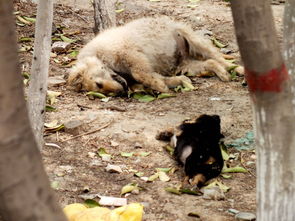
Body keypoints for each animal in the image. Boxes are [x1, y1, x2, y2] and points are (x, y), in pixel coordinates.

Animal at [67, 16, 245, 94]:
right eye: (101, 89)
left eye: (98, 84)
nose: (121, 91)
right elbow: (154, 78)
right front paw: (174, 82)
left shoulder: (133, 56)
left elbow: (141, 75)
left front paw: (161, 87)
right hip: (186, 65)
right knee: (211, 63)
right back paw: (223, 74)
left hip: (193, 39)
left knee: (219, 57)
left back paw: (238, 70)